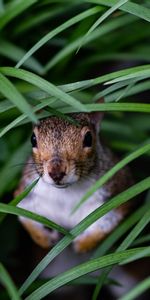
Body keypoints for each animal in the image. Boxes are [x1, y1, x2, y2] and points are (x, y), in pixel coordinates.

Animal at [15, 101, 132, 253]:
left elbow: (106, 224)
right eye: (33, 139)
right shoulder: (27, 194)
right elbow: (27, 218)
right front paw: (43, 238)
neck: (66, 192)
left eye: (88, 138)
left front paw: (83, 243)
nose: (56, 173)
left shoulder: (116, 192)